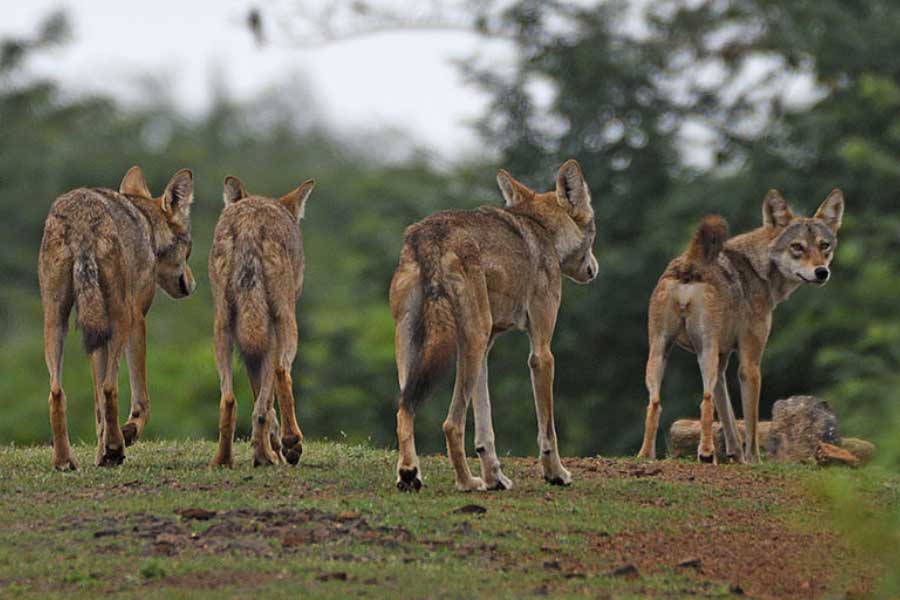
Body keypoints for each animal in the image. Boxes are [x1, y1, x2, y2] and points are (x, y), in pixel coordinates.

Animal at [39, 166, 196, 469]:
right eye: (190, 249)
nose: (193, 285)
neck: (148, 228)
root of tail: (80, 218)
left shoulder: (97, 332)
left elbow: (98, 406)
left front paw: (102, 452)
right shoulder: (138, 319)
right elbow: (140, 398)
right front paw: (125, 436)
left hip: (56, 320)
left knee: (57, 393)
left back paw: (65, 460)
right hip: (121, 318)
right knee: (111, 387)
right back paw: (115, 448)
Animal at [208, 176, 315, 468]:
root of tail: (249, 226)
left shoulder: (249, 352)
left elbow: (260, 402)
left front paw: (270, 448)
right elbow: (266, 405)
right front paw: (282, 447)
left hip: (223, 330)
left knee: (228, 400)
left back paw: (225, 460)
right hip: (284, 326)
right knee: (280, 373)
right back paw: (287, 443)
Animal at [390, 159, 599, 492]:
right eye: (594, 231)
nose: (594, 269)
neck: (543, 231)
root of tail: (429, 235)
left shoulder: (486, 349)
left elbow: (485, 430)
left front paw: (495, 478)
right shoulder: (541, 352)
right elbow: (548, 430)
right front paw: (556, 474)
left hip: (421, 350)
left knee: (403, 408)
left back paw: (410, 474)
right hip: (470, 342)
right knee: (451, 424)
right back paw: (467, 483)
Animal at [637, 189, 845, 463]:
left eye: (824, 246)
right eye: (797, 247)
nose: (821, 272)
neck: (759, 269)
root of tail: (690, 261)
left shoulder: (722, 363)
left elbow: (728, 418)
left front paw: (736, 456)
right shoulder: (749, 365)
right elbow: (750, 422)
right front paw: (754, 460)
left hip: (661, 353)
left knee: (655, 403)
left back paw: (645, 455)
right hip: (704, 353)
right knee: (703, 402)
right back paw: (705, 453)